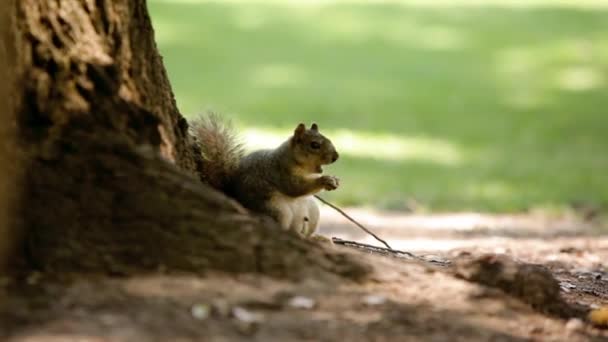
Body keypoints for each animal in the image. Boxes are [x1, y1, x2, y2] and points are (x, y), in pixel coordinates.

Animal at [190, 115, 340, 238]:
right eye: (314, 145)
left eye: (329, 139)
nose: (336, 157)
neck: (293, 159)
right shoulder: (280, 172)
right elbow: (295, 187)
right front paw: (324, 180)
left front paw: (334, 180)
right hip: (276, 210)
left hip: (312, 212)